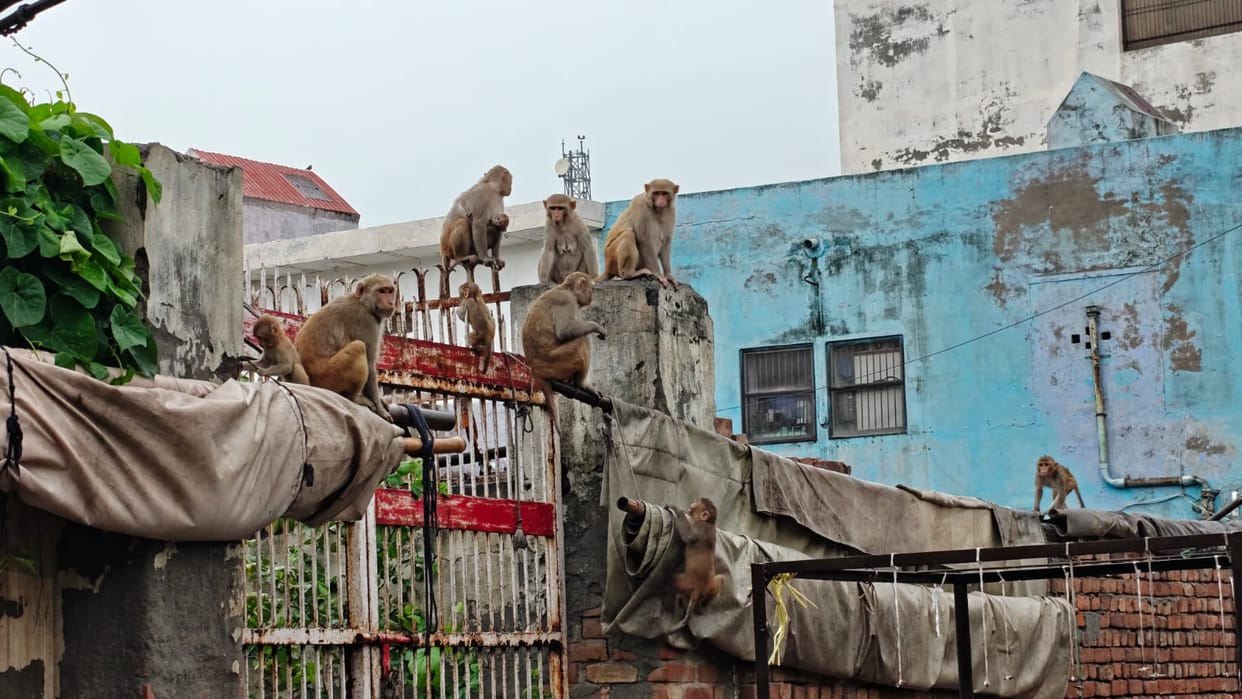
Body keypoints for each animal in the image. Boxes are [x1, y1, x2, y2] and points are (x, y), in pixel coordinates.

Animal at [293, 274, 396, 417]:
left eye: (390, 291)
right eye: (381, 291)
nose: (390, 302)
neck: (362, 303)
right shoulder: (366, 321)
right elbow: (370, 363)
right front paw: (380, 408)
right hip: (329, 376)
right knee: (359, 346)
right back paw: (355, 398)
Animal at [519, 271, 606, 427]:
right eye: (590, 288)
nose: (591, 297)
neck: (566, 288)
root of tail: (535, 370)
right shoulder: (567, 301)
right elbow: (564, 331)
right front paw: (597, 326)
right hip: (557, 363)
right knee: (582, 340)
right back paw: (582, 384)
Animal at [670, 497, 725, 631]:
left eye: (697, 502)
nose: (693, 502)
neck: (709, 523)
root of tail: (700, 589)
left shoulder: (700, 526)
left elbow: (688, 536)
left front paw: (675, 509)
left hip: (688, 584)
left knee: (673, 578)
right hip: (711, 586)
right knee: (721, 578)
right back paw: (704, 604)